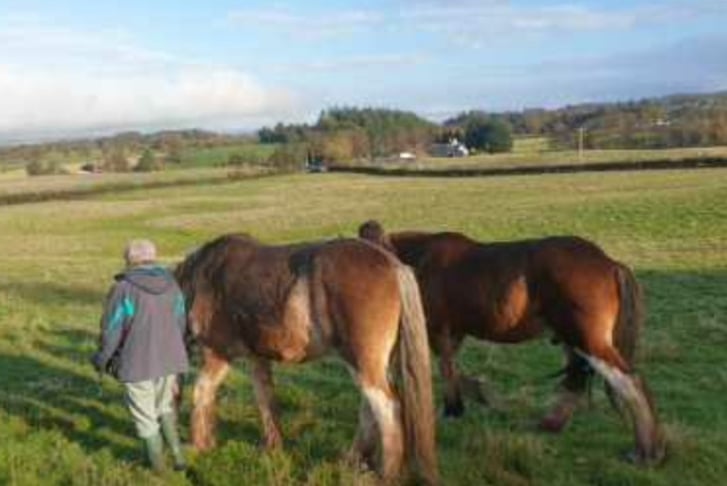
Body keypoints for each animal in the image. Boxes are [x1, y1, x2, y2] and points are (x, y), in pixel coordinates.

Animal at [175, 233, 438, 482]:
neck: (203, 276)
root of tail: (393, 265)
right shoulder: (257, 358)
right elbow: (266, 399)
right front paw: (272, 448)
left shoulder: (218, 353)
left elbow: (202, 393)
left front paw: (200, 446)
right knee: (370, 410)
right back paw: (353, 461)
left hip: (362, 362)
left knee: (387, 409)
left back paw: (387, 475)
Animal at [358, 219, 664, 464]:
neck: (420, 261)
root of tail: (608, 262)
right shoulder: (451, 334)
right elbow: (452, 369)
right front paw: (467, 400)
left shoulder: (438, 332)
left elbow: (447, 370)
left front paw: (455, 408)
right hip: (573, 339)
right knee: (577, 379)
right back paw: (552, 424)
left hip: (587, 339)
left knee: (630, 382)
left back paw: (645, 451)